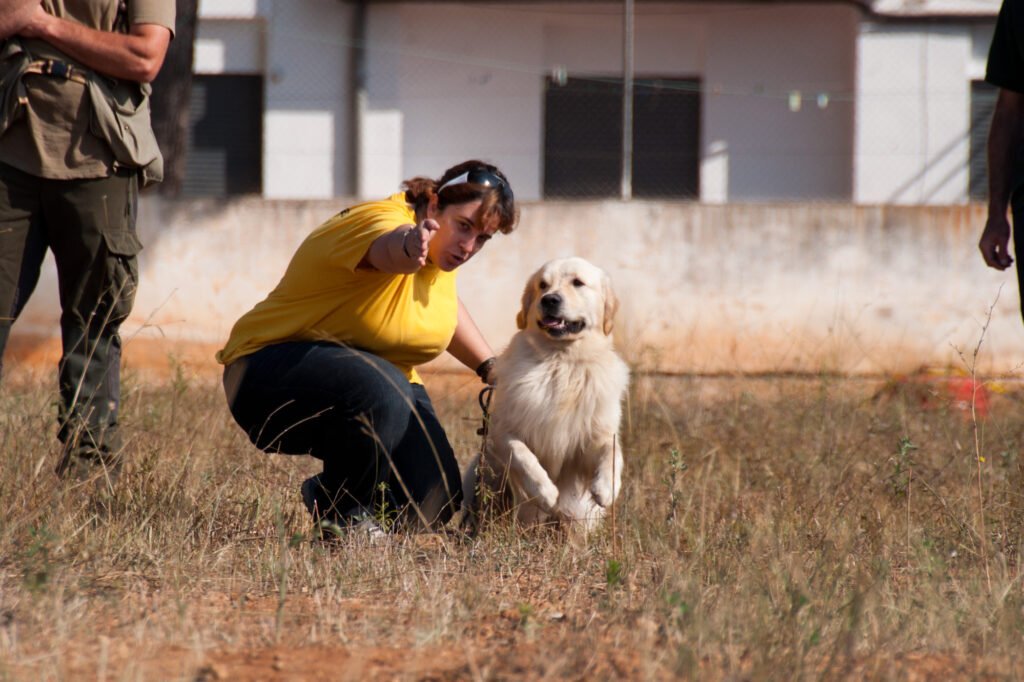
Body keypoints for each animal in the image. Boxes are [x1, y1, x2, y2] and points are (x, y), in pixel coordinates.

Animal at [462, 254, 622, 532]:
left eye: (578, 282)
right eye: (543, 285)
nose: (549, 300)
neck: (561, 361)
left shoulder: (593, 436)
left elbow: (611, 452)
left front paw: (606, 487)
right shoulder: (503, 431)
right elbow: (523, 455)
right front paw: (545, 492)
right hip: (479, 473)